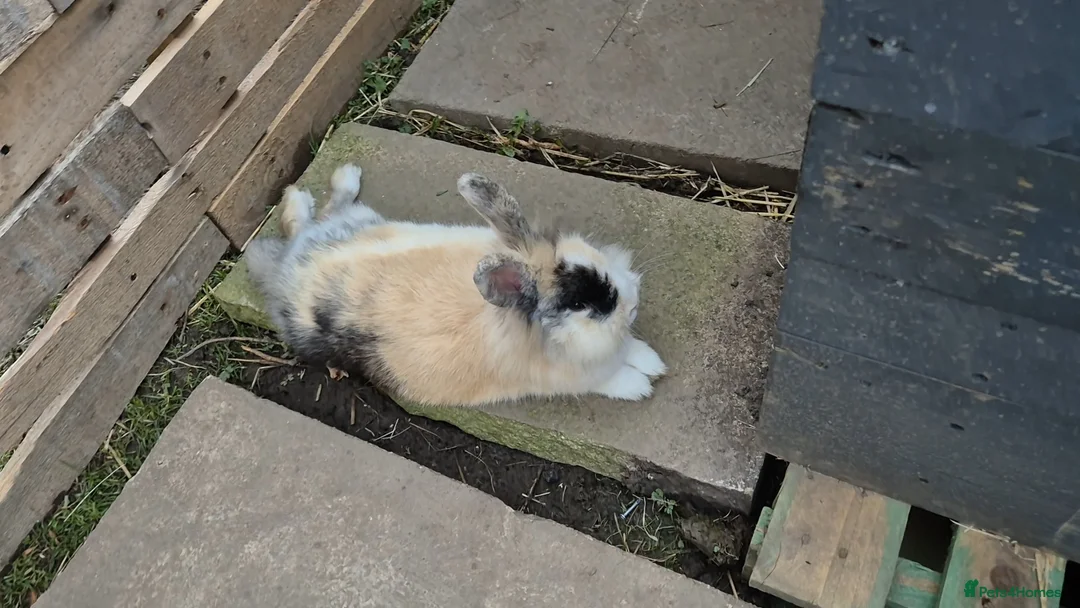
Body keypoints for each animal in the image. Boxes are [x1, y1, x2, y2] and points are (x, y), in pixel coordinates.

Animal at [244, 162, 667, 407]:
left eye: (595, 262)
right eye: (581, 307)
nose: (633, 305)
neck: (522, 325)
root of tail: (290, 271)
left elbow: (631, 349)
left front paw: (652, 362)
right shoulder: (576, 377)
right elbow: (613, 377)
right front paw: (642, 383)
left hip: (356, 222)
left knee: (319, 216)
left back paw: (335, 178)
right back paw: (302, 194)